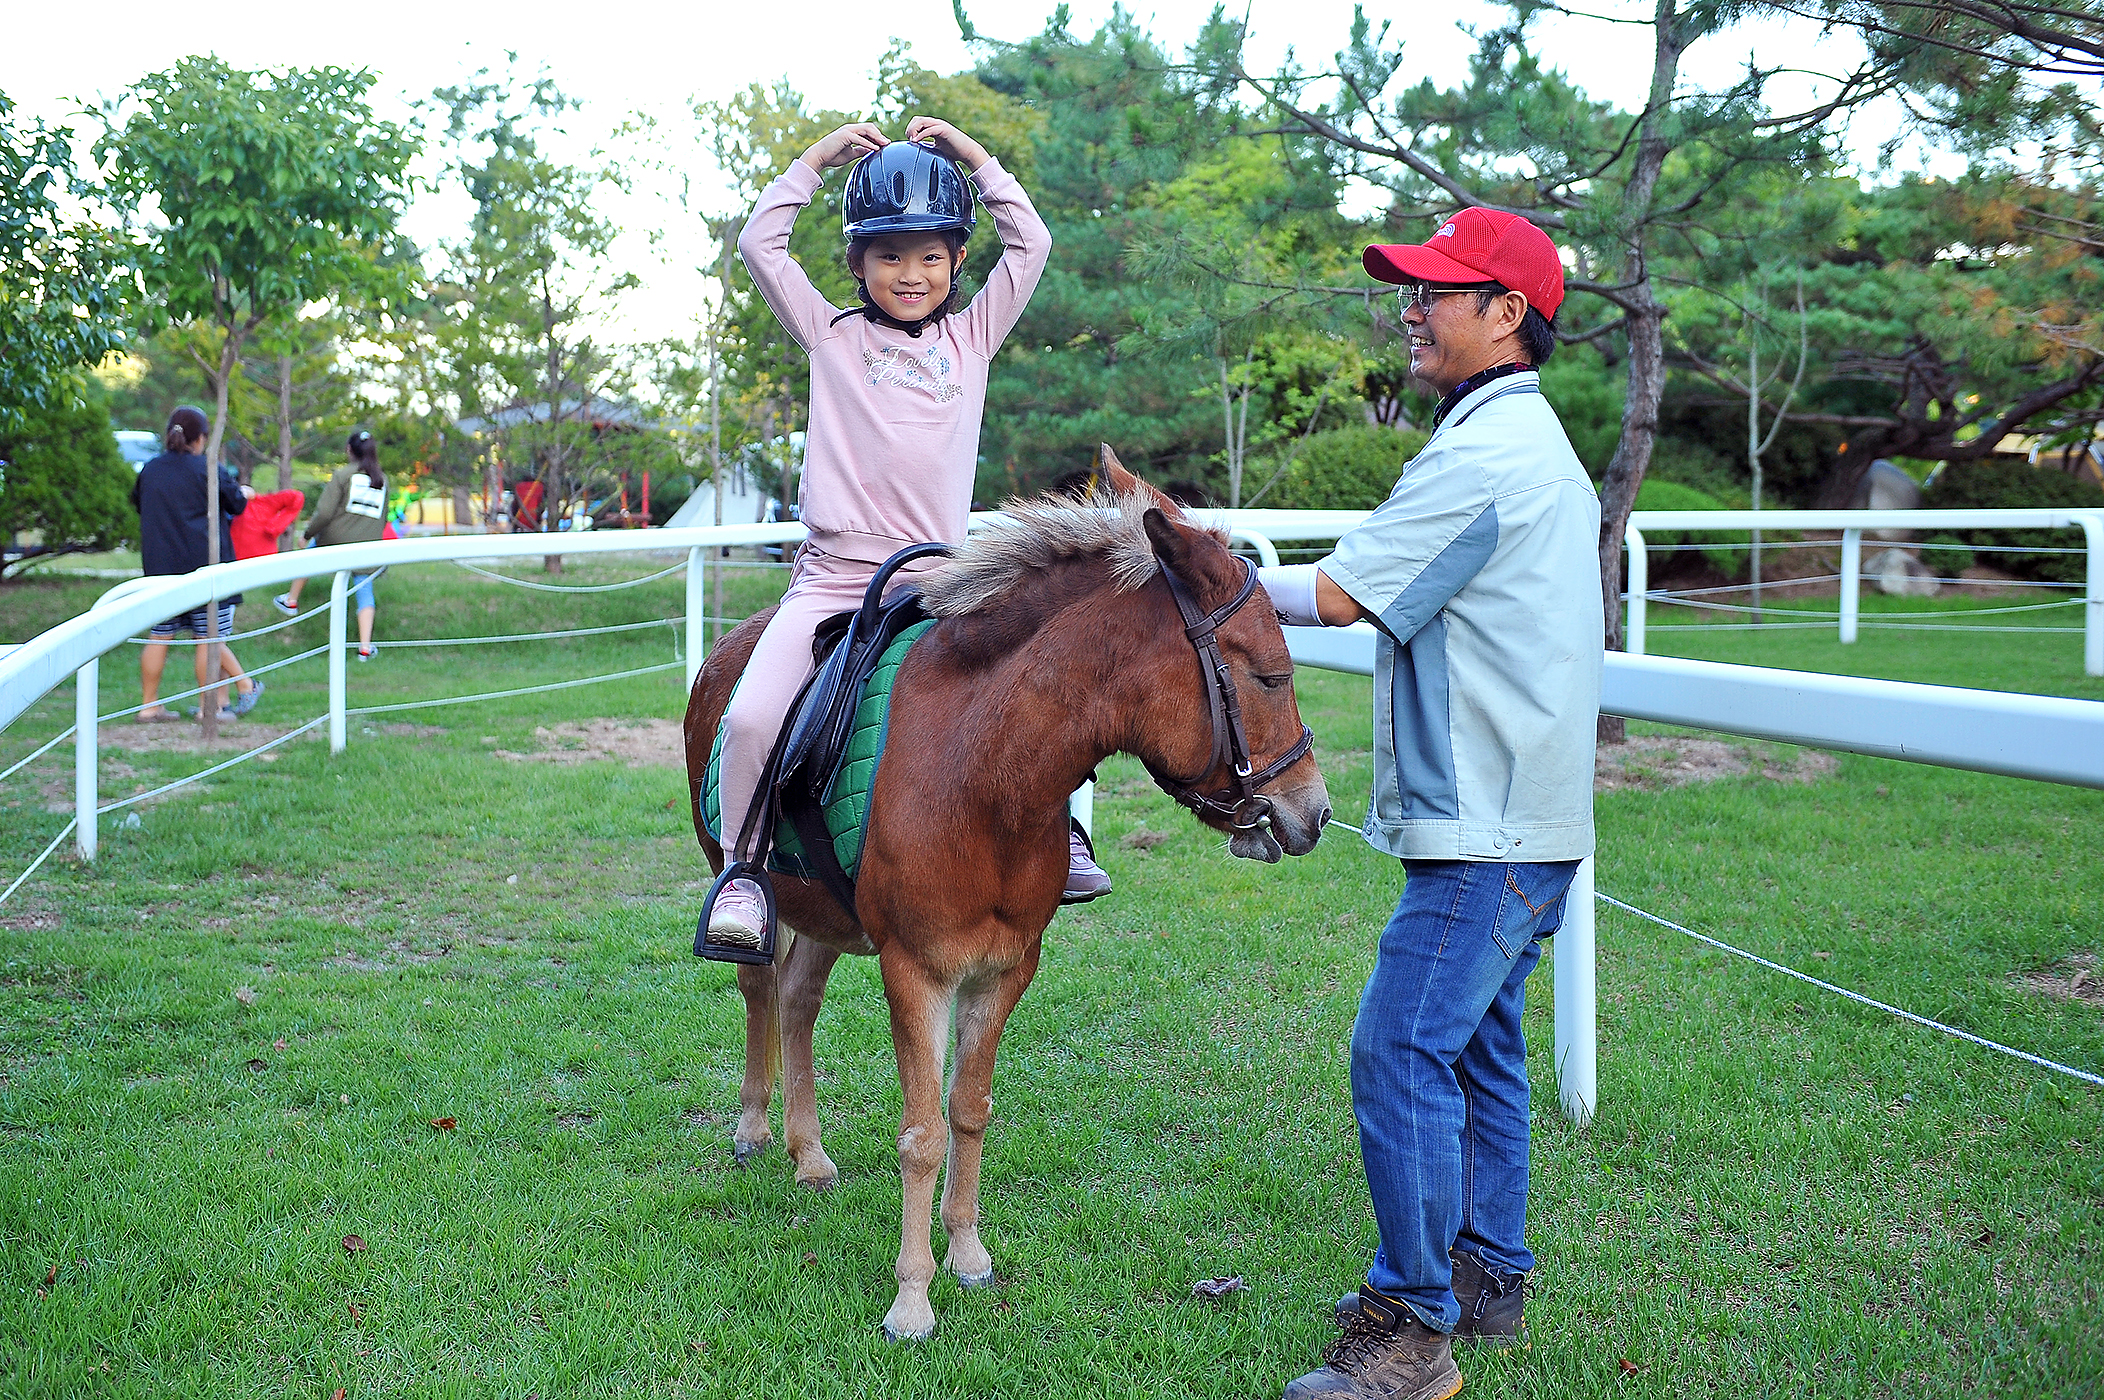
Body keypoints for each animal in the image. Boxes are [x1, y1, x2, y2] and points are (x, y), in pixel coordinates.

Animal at [681, 463, 1321, 1338]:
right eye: (1268, 674)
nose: (1313, 810)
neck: (982, 771)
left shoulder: (1006, 968)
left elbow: (969, 1110)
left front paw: (968, 1256)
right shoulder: (916, 972)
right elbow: (920, 1134)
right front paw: (912, 1300)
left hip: (822, 911)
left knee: (799, 1001)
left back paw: (808, 1154)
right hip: (757, 881)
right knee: (757, 988)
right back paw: (752, 1127)